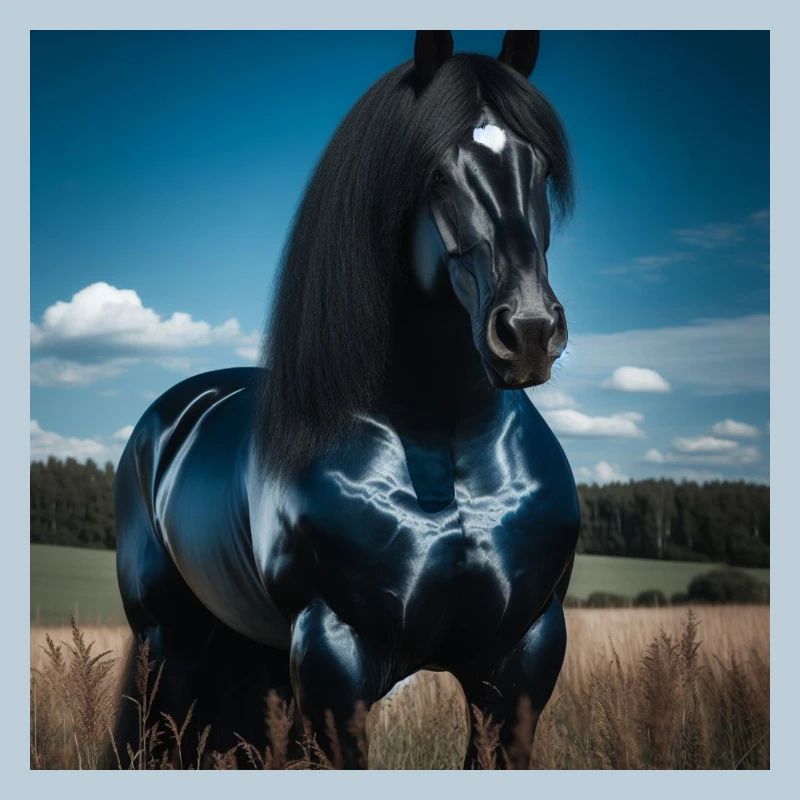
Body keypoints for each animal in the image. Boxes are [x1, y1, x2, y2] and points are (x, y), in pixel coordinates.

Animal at [113, 30, 580, 769]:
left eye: (536, 165)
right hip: (170, 650)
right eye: (435, 172)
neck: (446, 448)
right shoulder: (337, 658)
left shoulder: (522, 659)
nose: (529, 330)